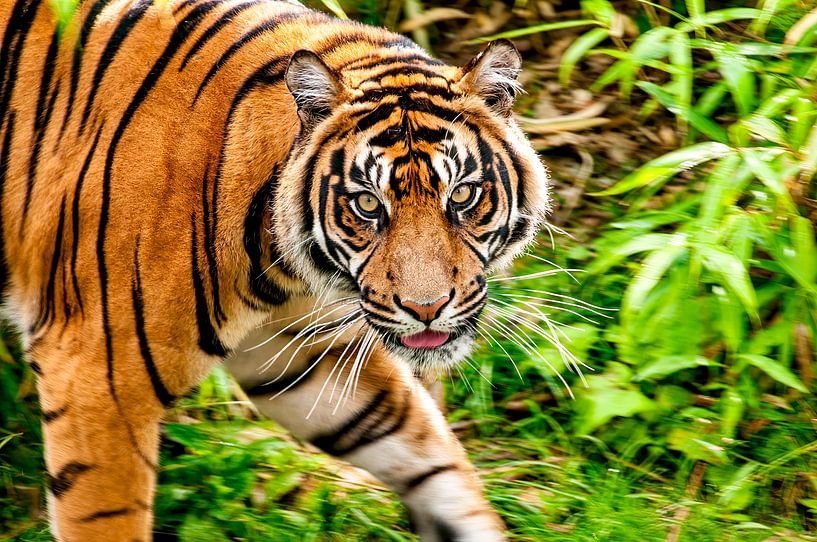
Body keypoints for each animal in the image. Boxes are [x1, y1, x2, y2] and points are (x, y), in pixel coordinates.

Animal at [0, 0, 550, 539]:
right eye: (367, 204)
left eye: (462, 195)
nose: (427, 308)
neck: (280, 268)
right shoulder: (97, 379)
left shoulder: (298, 354)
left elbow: (429, 458)